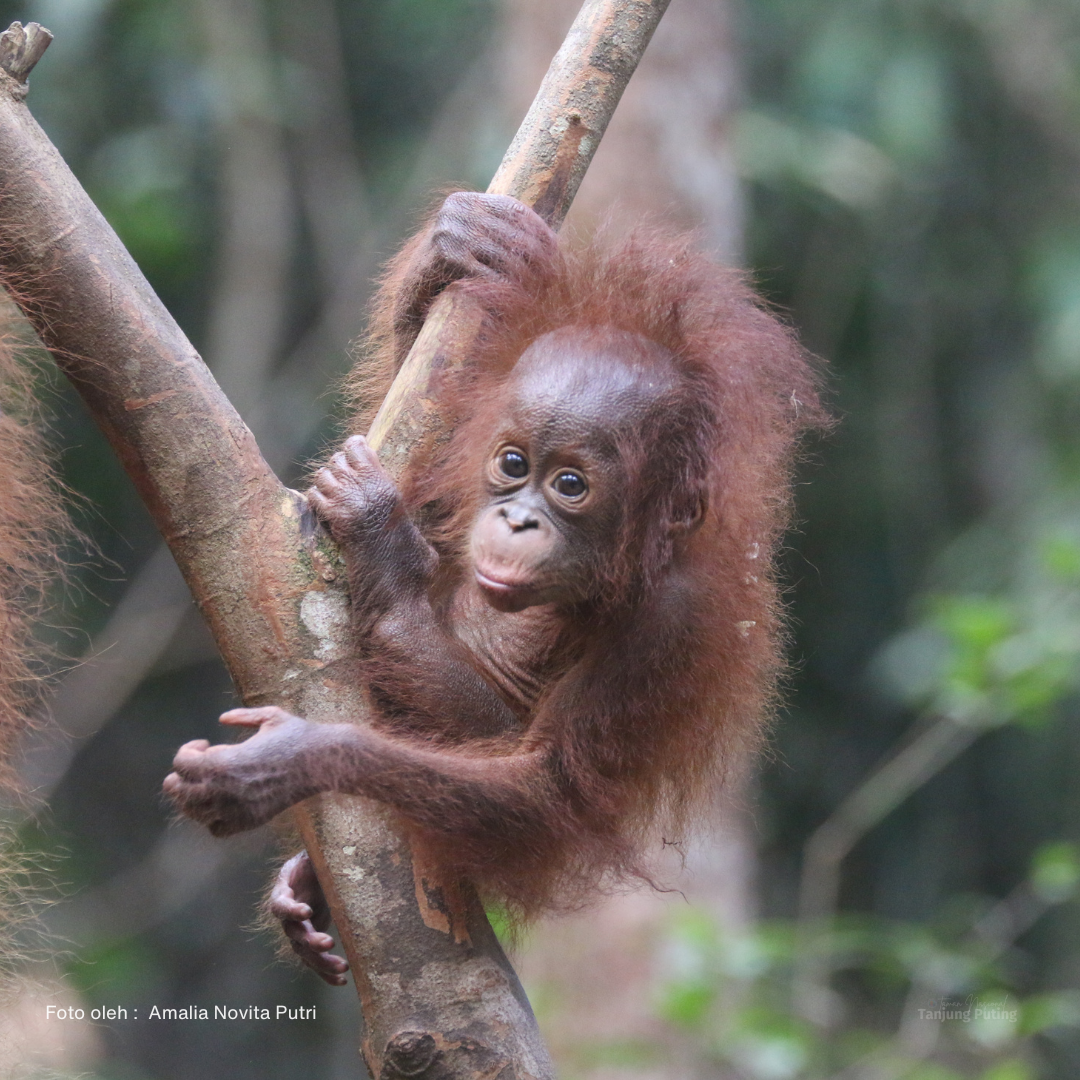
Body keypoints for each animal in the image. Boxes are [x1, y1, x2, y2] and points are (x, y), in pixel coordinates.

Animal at [163, 192, 826, 983]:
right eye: (513, 464)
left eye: (569, 484)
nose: (516, 519)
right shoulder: (458, 464)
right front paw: (458, 250)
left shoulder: (674, 622)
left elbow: (539, 782)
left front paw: (288, 758)